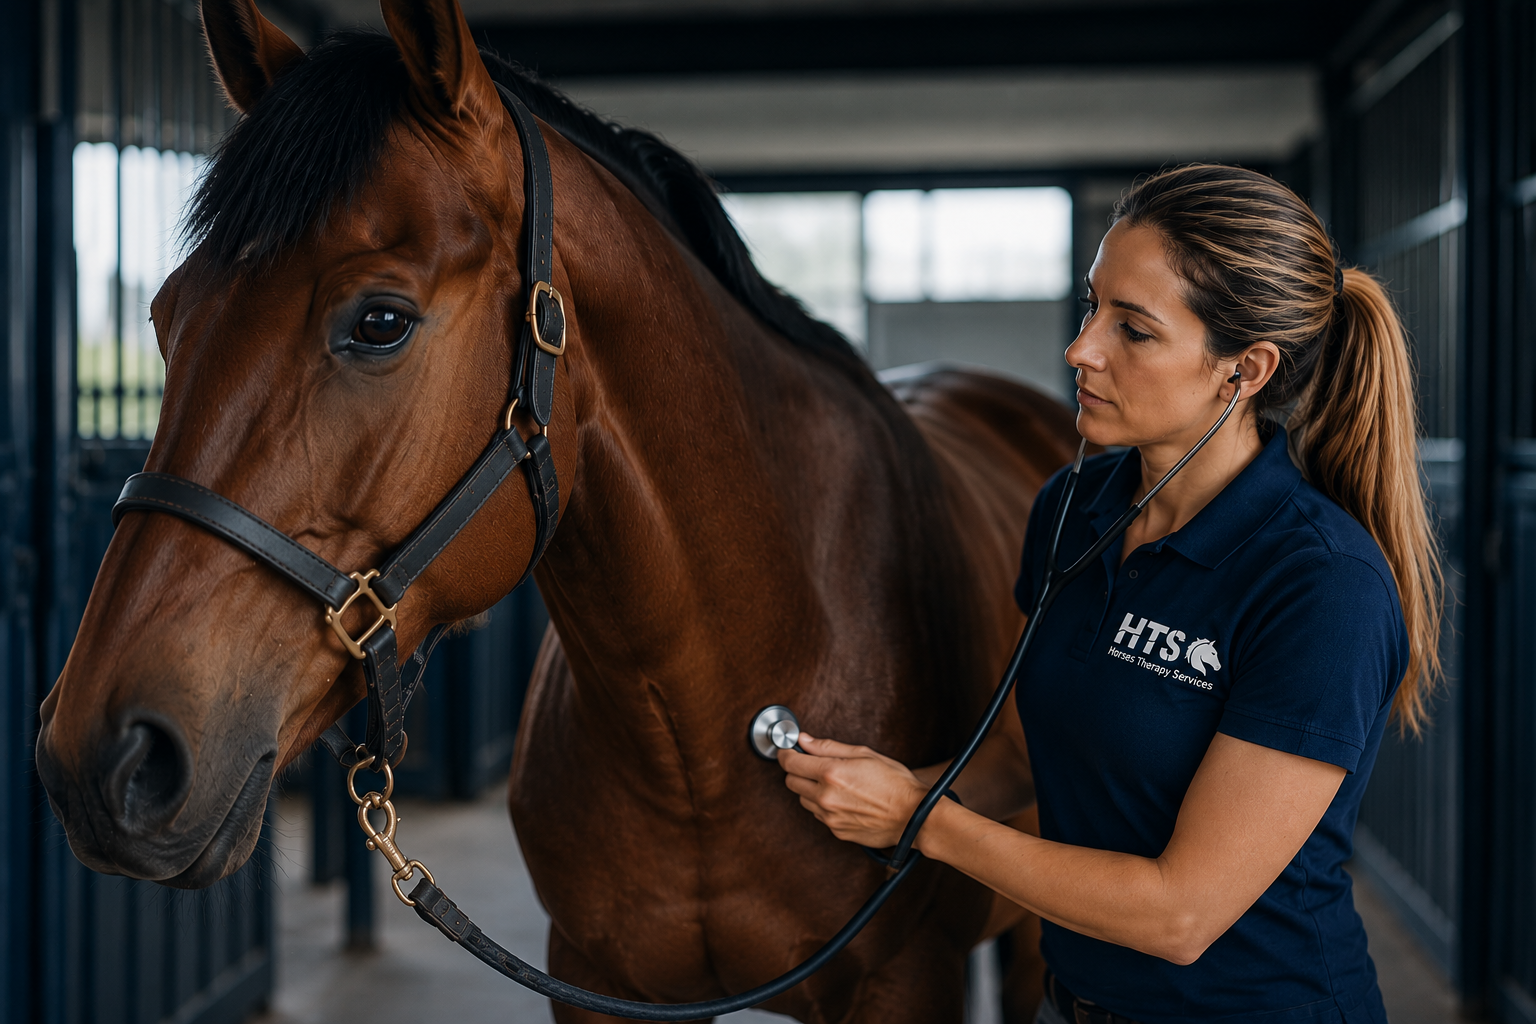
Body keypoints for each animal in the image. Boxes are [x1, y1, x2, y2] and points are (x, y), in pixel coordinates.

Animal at [35, 1, 1082, 1020]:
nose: (104, 757)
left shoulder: (902, 980)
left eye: (380, 321)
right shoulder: (589, 978)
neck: (709, 732)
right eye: (166, 317)